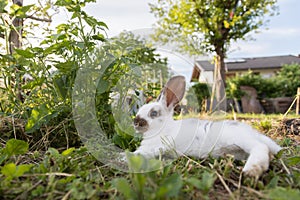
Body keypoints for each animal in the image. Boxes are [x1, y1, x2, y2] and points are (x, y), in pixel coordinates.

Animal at [131, 76, 282, 177]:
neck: (164, 128)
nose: (136, 122)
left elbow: (141, 153)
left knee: (260, 147)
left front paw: (129, 156)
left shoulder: (159, 145)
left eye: (153, 113)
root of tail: (254, 133)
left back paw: (251, 171)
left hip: (240, 139)